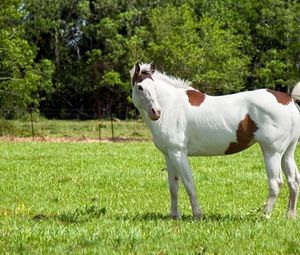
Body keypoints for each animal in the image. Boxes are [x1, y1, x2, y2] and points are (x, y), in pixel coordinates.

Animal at [130, 62, 300, 220]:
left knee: (275, 182)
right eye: (140, 87)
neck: (171, 106)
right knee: (294, 180)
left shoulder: (178, 153)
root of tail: (289, 99)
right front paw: (174, 216)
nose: (156, 112)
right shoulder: (168, 154)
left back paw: (264, 216)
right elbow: (173, 186)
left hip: (272, 152)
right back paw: (290, 216)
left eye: (154, 86)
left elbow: (189, 184)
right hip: (287, 153)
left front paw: (197, 215)